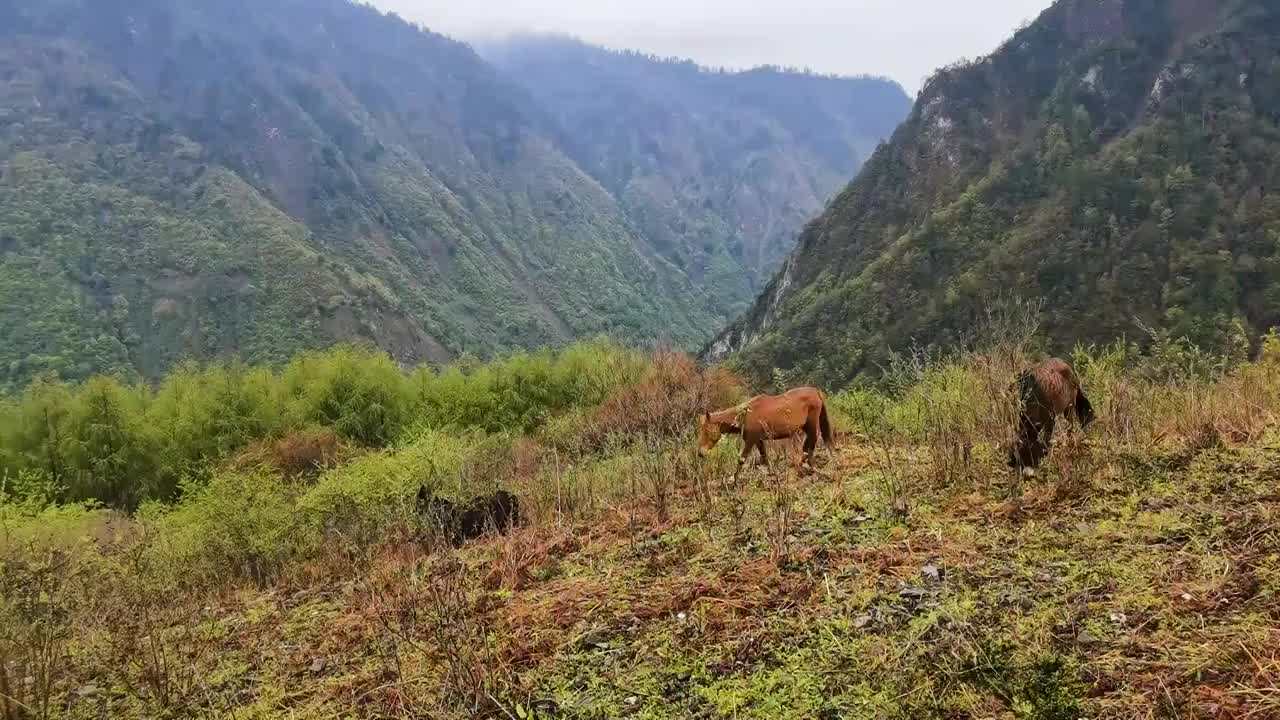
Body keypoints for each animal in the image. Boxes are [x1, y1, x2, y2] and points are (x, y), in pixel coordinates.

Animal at [696, 384, 834, 479]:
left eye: (707, 430)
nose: (700, 453)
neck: (745, 415)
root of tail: (815, 391)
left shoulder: (750, 440)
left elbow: (741, 460)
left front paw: (734, 480)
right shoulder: (758, 440)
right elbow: (764, 458)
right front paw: (772, 474)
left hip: (812, 424)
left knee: (811, 442)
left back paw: (807, 465)